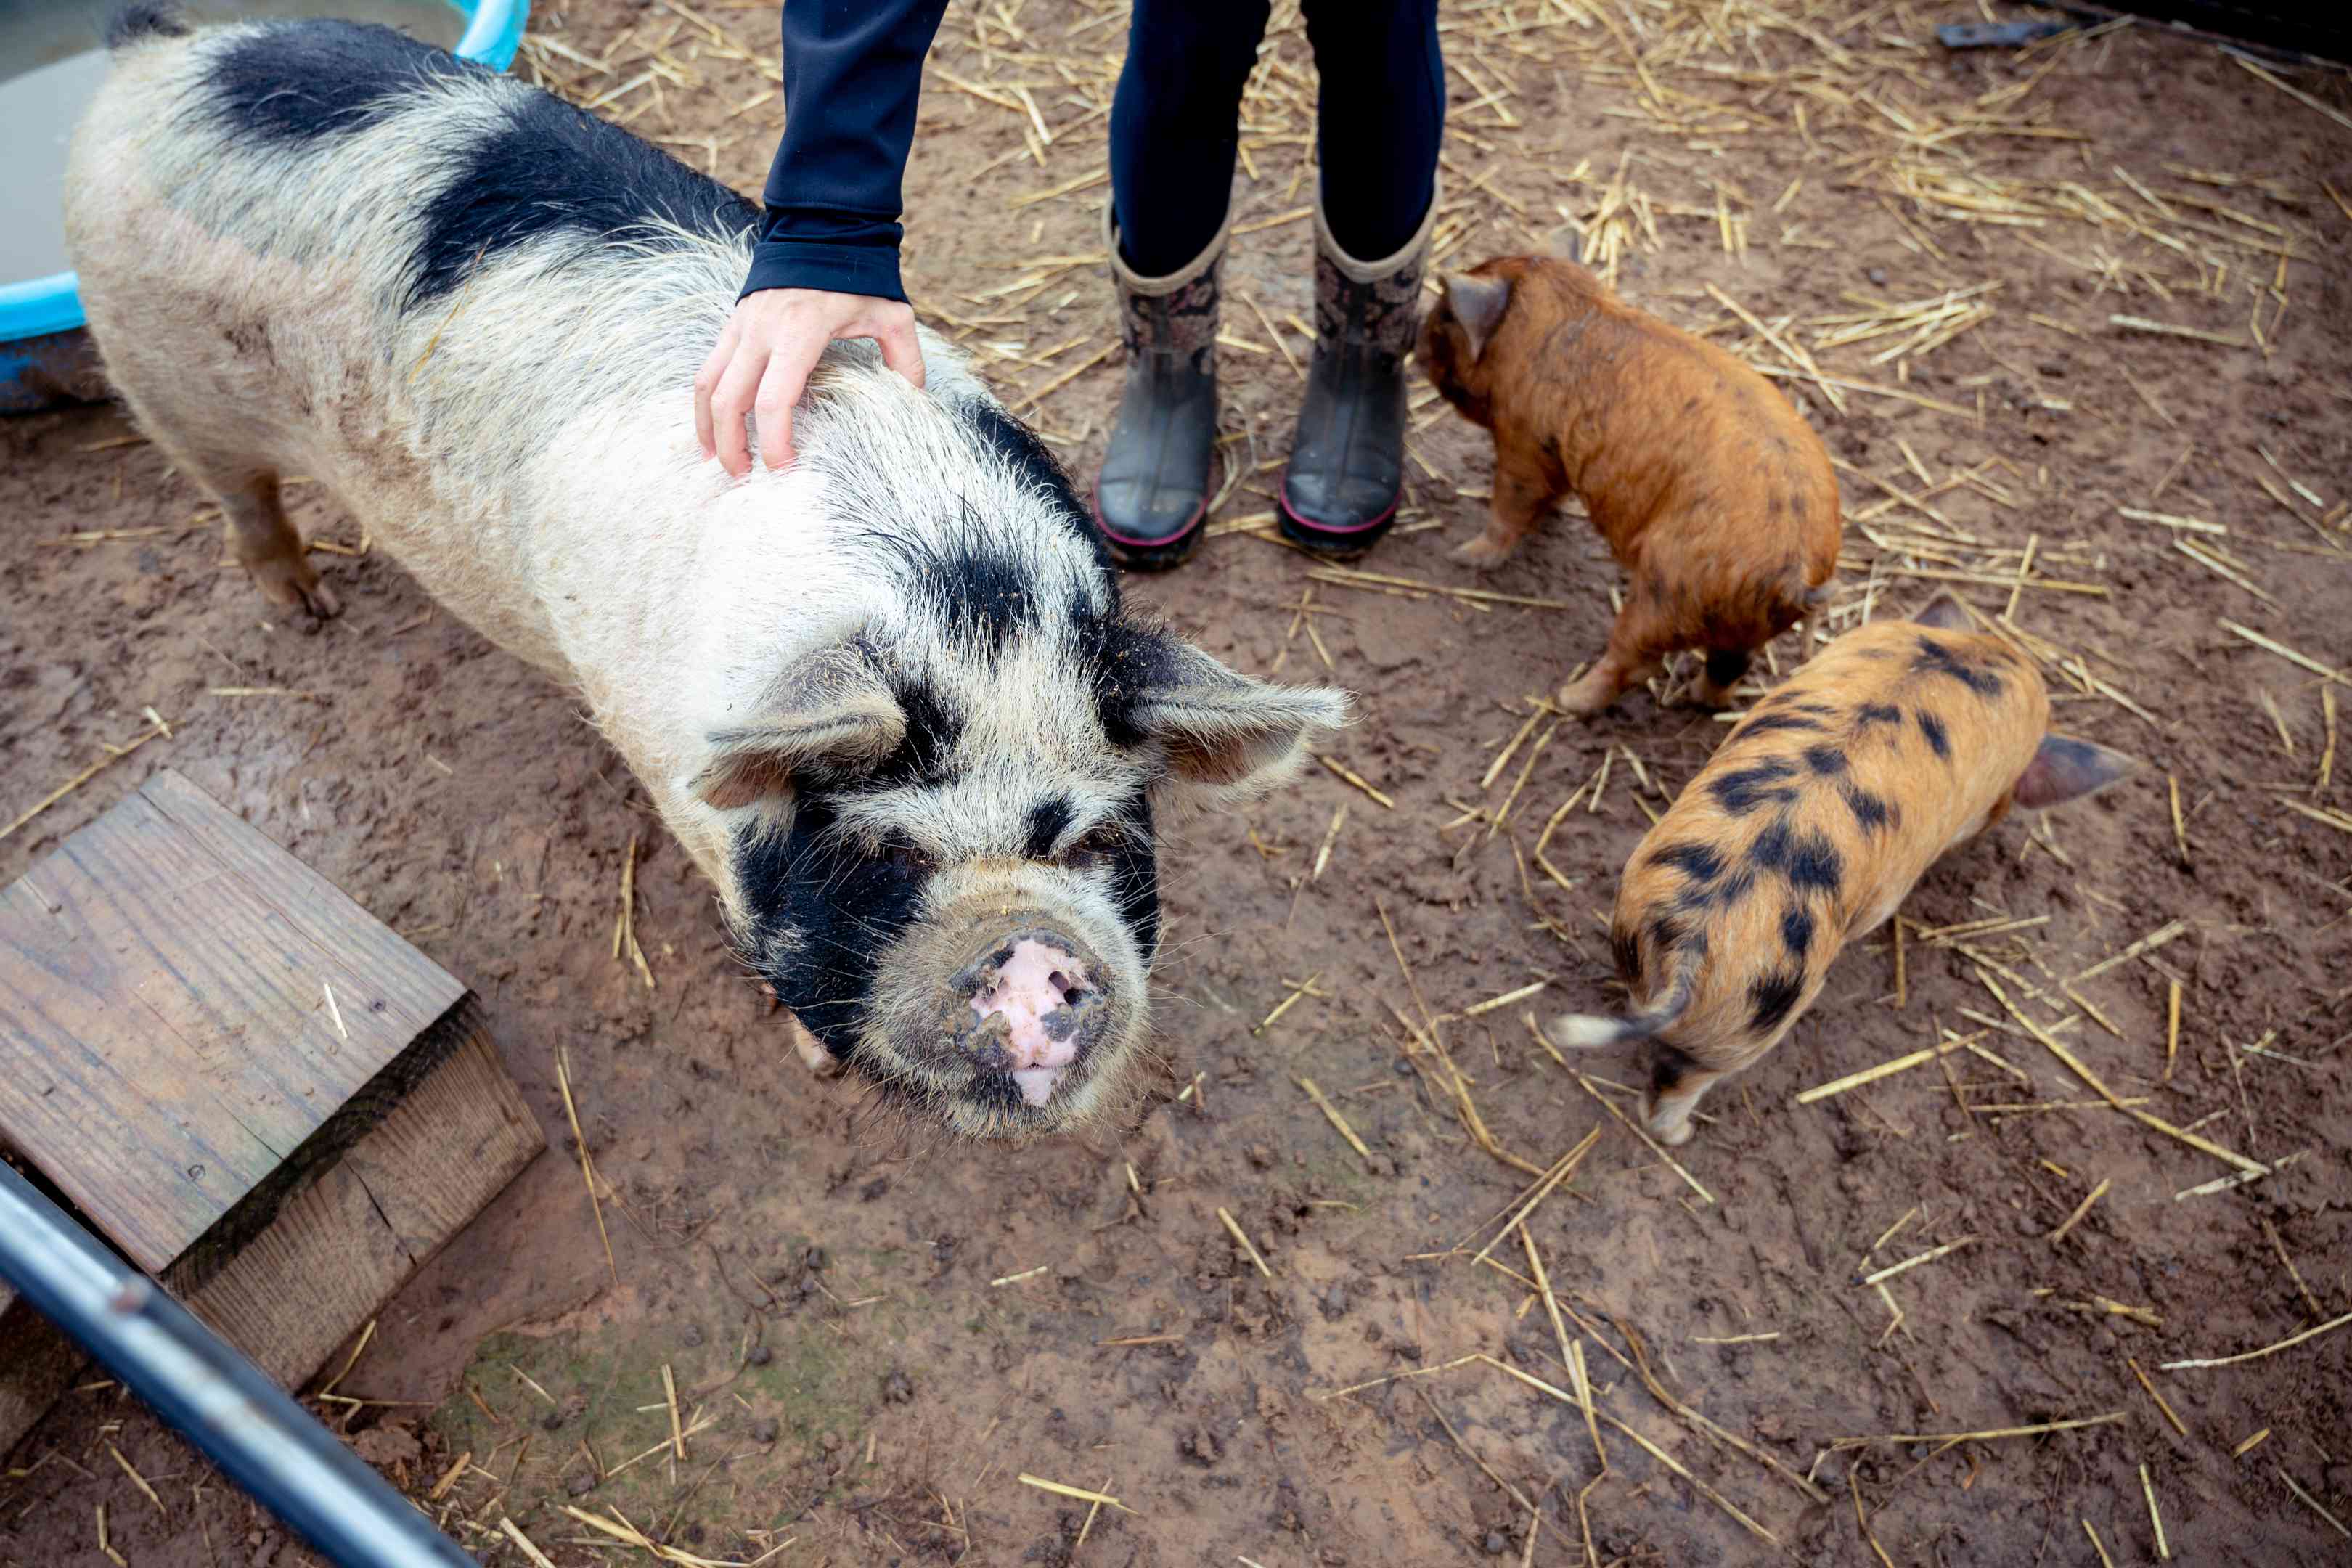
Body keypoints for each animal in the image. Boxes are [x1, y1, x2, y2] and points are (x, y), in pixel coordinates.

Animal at [64, 9, 1345, 1142]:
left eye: (1093, 841)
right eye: (884, 851)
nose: (1032, 956)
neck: (955, 597)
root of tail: (160, 51)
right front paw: (816, 1062)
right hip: (164, 382)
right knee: (241, 501)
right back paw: (307, 611)